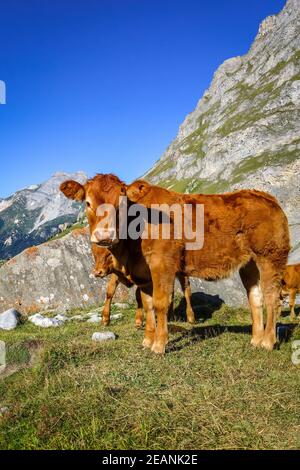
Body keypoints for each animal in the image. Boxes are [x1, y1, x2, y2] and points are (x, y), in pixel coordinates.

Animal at [59, 174, 290, 354]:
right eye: (88, 203)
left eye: (121, 204)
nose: (105, 236)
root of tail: (265, 196)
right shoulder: (144, 275)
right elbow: (148, 304)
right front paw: (147, 340)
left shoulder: (162, 264)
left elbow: (161, 303)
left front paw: (159, 345)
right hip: (249, 264)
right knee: (255, 297)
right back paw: (255, 340)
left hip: (271, 256)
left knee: (271, 296)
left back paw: (268, 342)